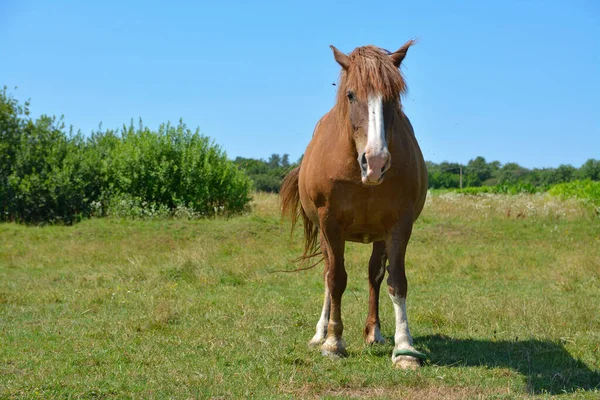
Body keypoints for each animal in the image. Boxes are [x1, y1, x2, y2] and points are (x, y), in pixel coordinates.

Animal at [280, 39, 426, 368]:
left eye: (393, 96)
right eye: (350, 94)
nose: (376, 162)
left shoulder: (399, 225)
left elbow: (396, 282)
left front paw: (404, 348)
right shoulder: (330, 224)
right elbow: (336, 280)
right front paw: (333, 342)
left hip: (380, 237)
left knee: (375, 275)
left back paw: (375, 333)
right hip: (325, 234)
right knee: (327, 275)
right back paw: (320, 332)